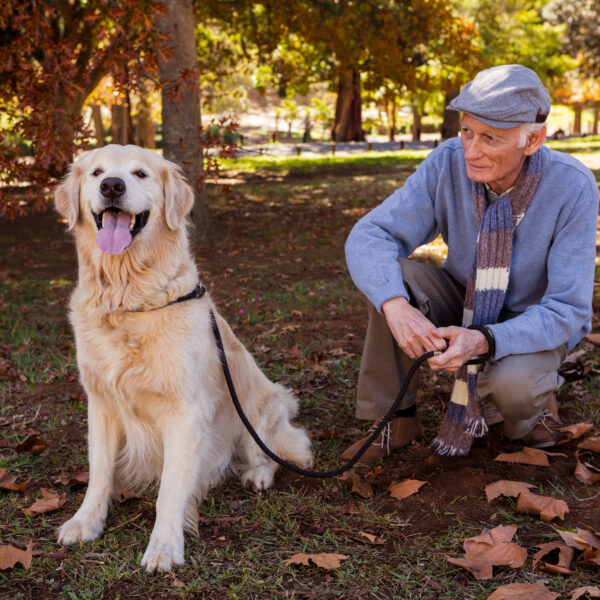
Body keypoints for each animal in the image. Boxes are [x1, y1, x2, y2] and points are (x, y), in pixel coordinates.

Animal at [54, 144, 314, 572]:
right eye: (97, 173)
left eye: (140, 174)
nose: (112, 186)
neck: (128, 300)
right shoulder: (102, 404)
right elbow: (99, 473)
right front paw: (86, 521)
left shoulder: (185, 412)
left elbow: (171, 490)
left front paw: (164, 546)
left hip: (261, 407)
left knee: (279, 449)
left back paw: (257, 475)